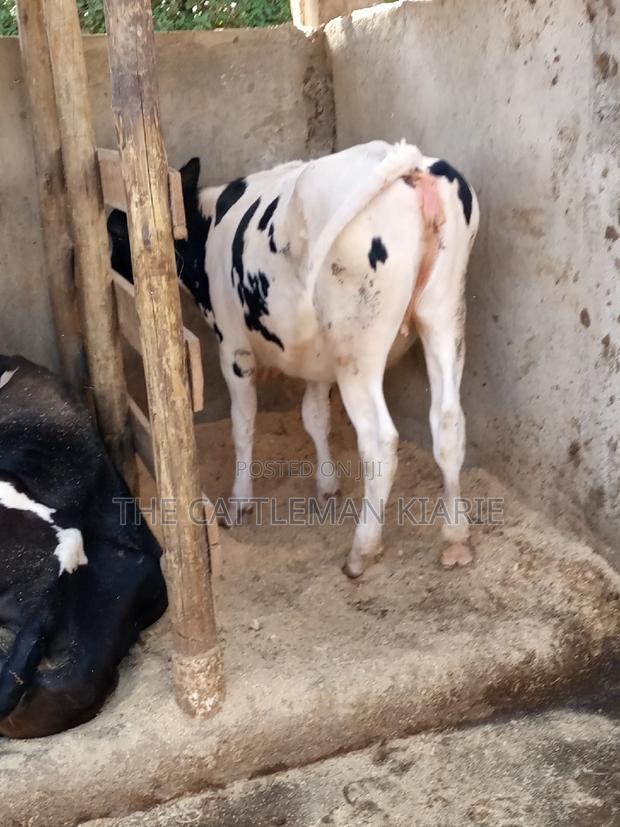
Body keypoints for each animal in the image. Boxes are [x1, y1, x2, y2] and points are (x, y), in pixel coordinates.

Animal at [108, 140, 479, 578]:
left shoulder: (233, 350)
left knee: (380, 442)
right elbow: (314, 416)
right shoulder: (317, 361)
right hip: (444, 313)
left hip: (358, 348)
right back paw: (455, 538)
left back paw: (363, 549)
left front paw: (239, 502)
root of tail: (407, 160)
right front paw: (327, 484)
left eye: (118, 229)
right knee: (449, 421)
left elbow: (243, 424)